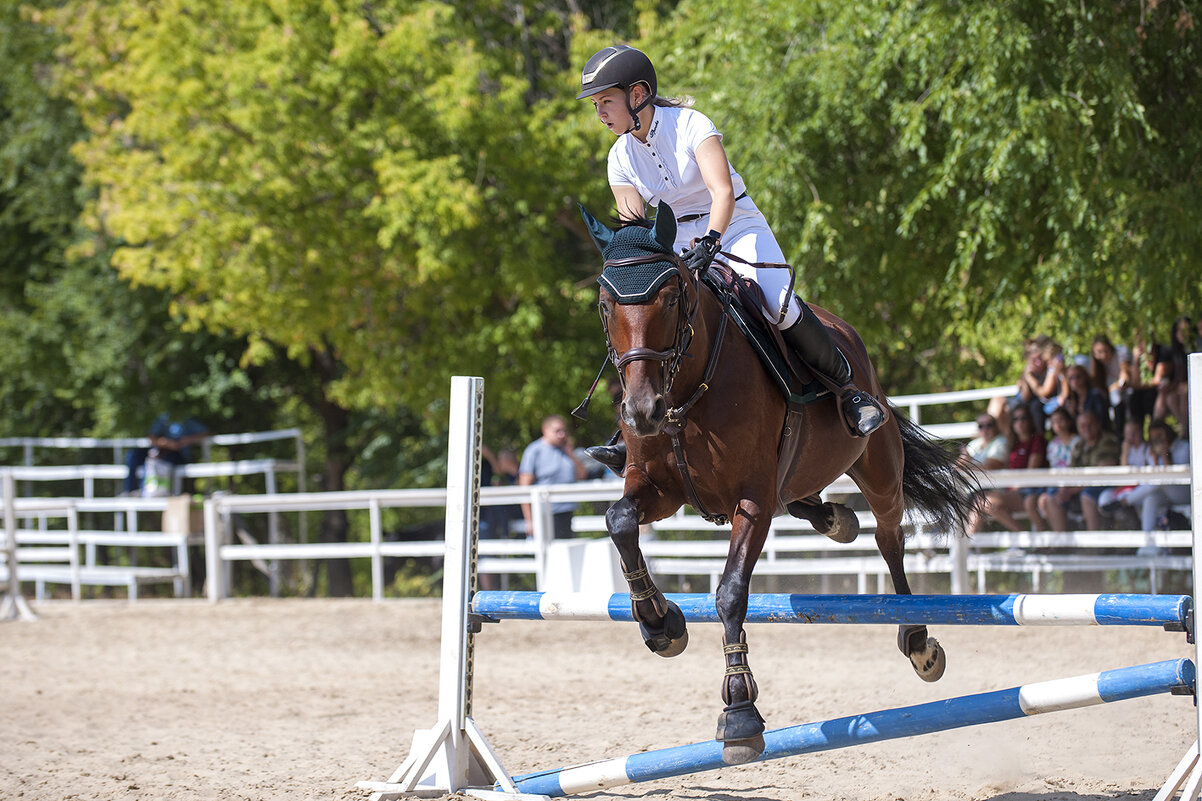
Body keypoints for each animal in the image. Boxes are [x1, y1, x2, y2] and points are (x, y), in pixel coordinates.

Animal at [576, 199, 980, 760]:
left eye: (673, 295)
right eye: (604, 304)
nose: (641, 412)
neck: (685, 393)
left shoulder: (751, 501)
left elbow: (729, 591)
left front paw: (739, 709)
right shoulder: (660, 489)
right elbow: (619, 522)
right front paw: (660, 622)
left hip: (878, 469)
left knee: (889, 538)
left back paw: (918, 640)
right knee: (807, 502)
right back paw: (836, 520)